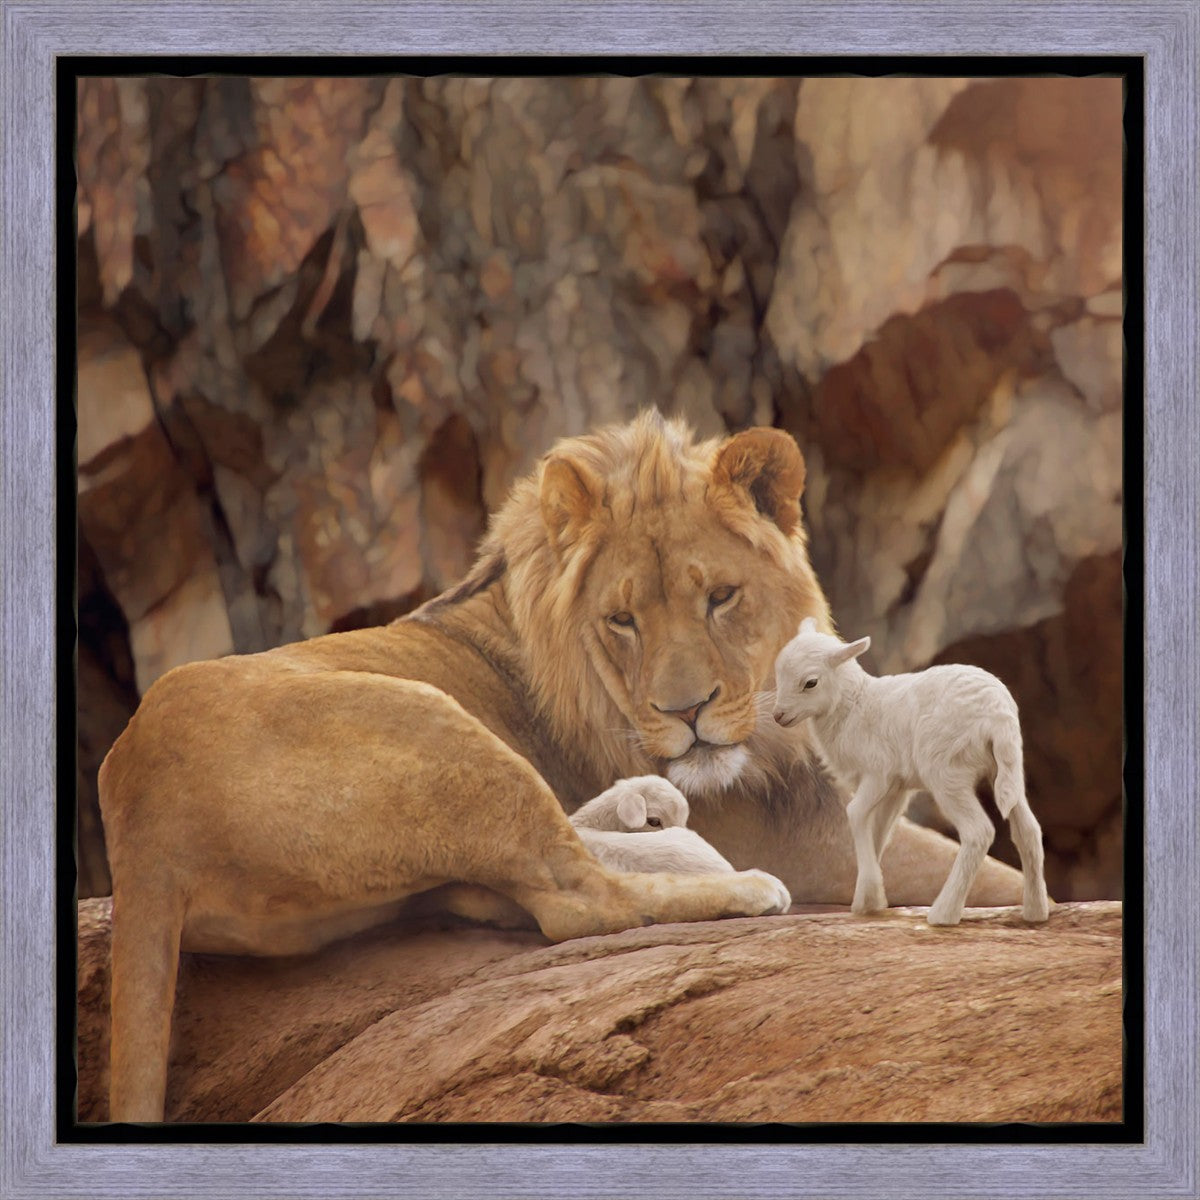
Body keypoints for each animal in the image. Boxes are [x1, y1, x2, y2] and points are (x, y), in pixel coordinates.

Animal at [772, 618, 1050, 927]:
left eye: (810, 682)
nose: (778, 716)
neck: (854, 706)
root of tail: (998, 715)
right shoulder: (896, 787)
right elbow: (879, 830)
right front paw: (869, 899)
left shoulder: (877, 773)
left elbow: (855, 814)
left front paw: (869, 895)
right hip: (1007, 768)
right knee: (1028, 830)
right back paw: (1035, 911)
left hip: (946, 771)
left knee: (978, 832)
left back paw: (943, 913)